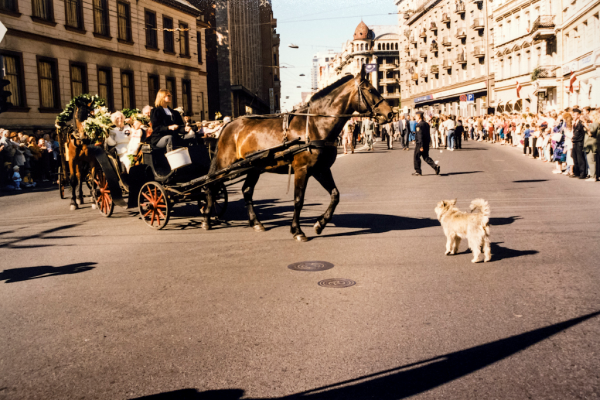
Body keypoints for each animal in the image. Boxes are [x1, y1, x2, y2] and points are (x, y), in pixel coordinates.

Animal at [206, 66, 394, 241]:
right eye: (370, 90)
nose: (390, 113)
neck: (315, 125)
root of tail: (229, 124)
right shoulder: (301, 170)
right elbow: (298, 200)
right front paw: (297, 230)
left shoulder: (321, 169)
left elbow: (335, 195)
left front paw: (320, 224)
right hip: (225, 165)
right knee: (211, 185)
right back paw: (207, 218)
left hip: (254, 168)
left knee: (246, 190)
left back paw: (256, 223)